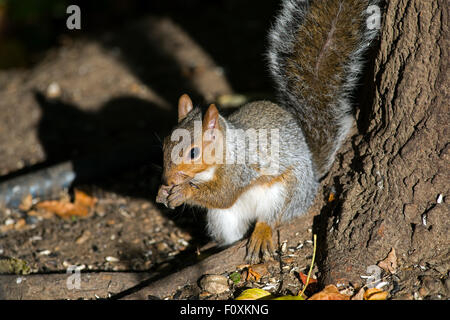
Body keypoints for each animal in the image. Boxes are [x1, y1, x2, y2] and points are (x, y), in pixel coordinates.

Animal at [156, 0, 378, 262]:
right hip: (224, 220)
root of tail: (312, 179)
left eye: (193, 153)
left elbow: (223, 196)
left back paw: (261, 233)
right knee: (233, 233)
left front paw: (183, 193)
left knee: (271, 218)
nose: (168, 180)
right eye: (164, 145)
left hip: (285, 192)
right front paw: (162, 192)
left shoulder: (239, 170)